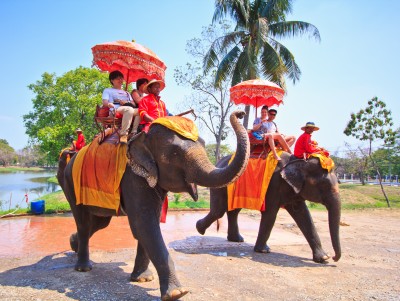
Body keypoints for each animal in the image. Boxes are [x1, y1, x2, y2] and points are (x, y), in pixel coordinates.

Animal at [57, 110, 250, 300]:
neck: (144, 136)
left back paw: (73, 244)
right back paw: (83, 268)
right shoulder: (133, 176)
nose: (240, 113)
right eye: (175, 154)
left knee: (99, 222)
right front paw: (177, 293)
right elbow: (144, 224)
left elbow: (148, 224)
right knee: (83, 221)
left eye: (203, 144)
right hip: (70, 183)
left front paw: (143, 279)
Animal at [197, 151, 340, 262]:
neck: (298, 161)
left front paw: (323, 258)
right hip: (220, 185)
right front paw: (263, 251)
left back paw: (236, 239)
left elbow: (304, 216)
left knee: (233, 211)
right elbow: (270, 214)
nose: (334, 258)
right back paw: (200, 229)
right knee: (219, 210)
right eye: (324, 185)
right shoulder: (274, 185)